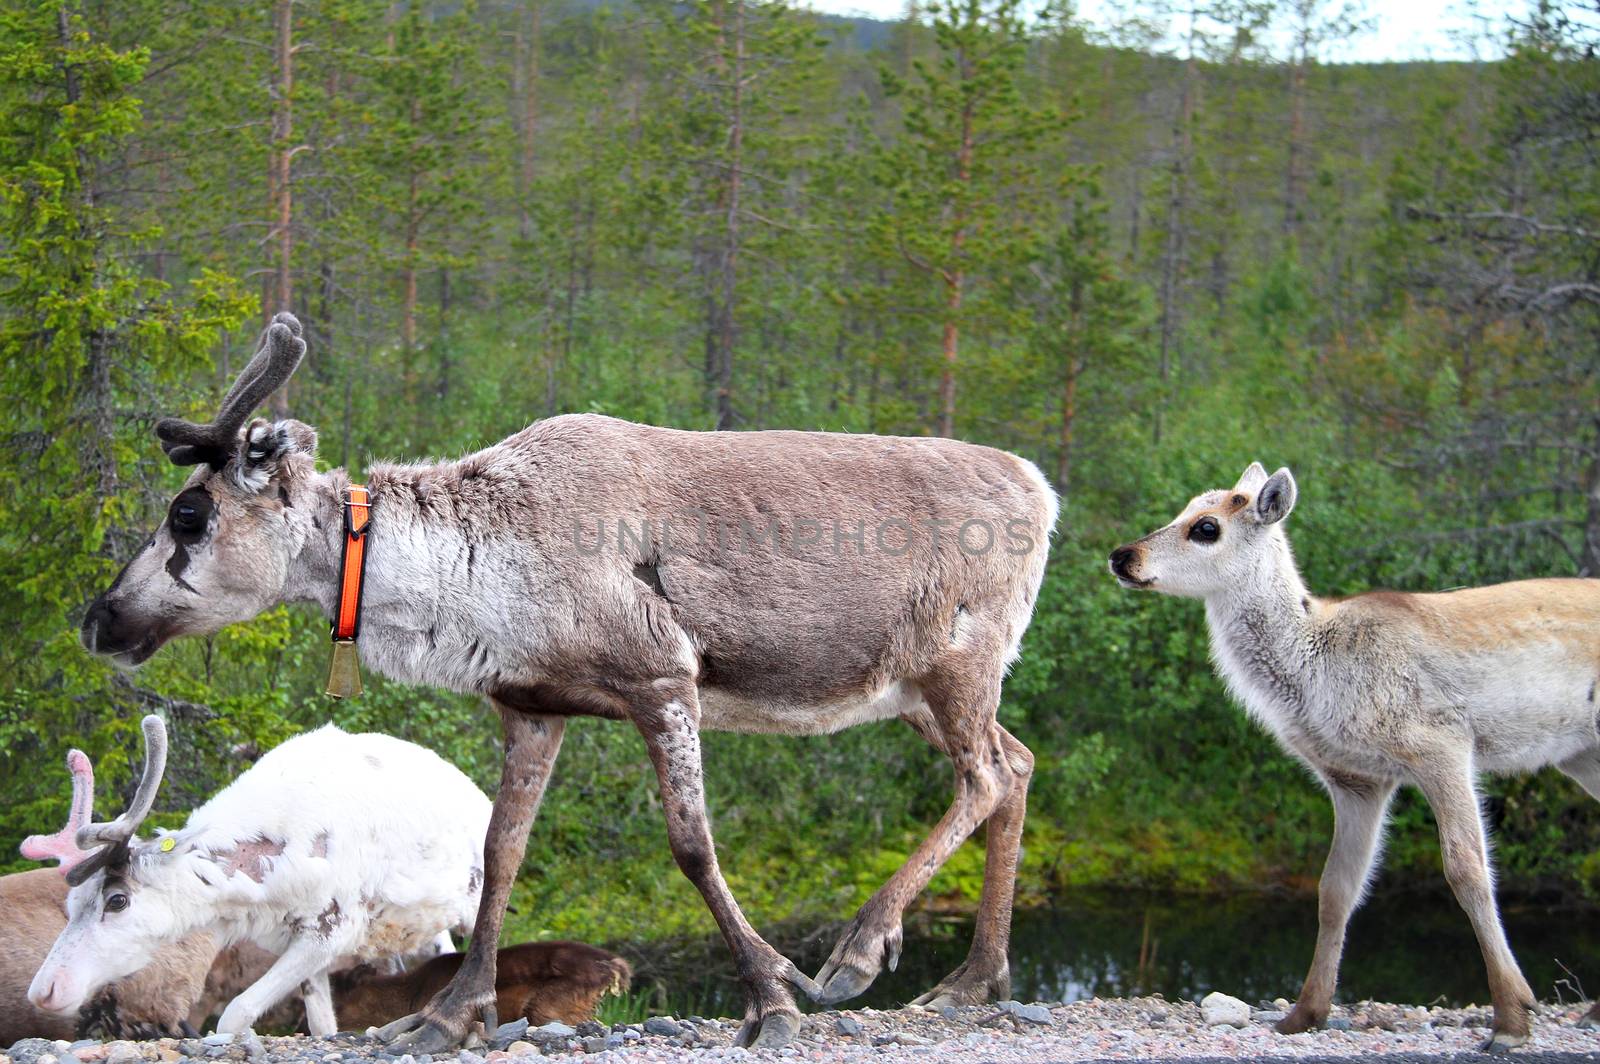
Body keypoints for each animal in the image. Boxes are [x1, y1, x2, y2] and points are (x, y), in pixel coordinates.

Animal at [1113, 464, 1600, 1056]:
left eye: (1206, 527)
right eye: (1183, 509)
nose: (1122, 556)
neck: (1317, 672)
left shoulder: (1441, 743)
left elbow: (1467, 870)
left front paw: (1511, 1017)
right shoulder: (1356, 779)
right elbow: (1336, 888)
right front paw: (1303, 1013)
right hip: (1582, 755)